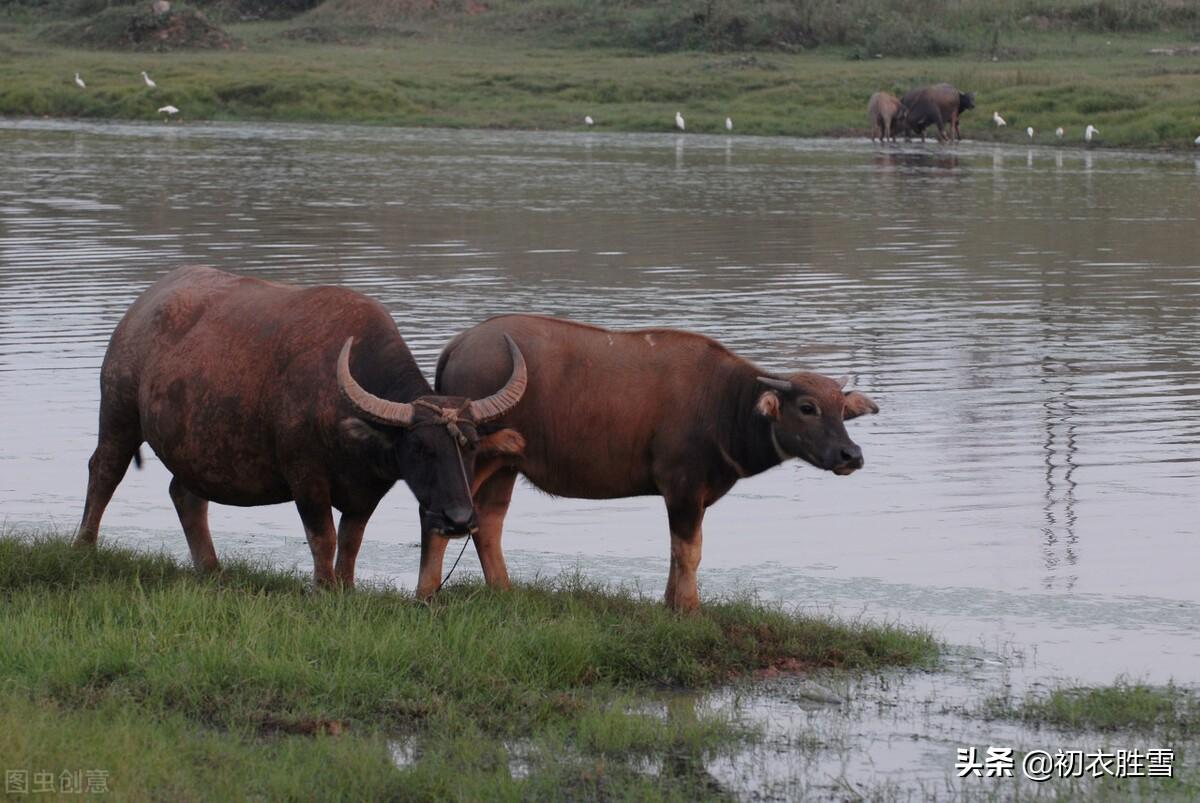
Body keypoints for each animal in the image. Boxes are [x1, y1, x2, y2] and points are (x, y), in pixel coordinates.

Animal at [75, 266, 525, 585]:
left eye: (470, 445)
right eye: (420, 448)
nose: (459, 519)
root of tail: (141, 308)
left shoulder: (367, 491)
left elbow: (351, 542)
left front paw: (345, 587)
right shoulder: (306, 479)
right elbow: (323, 538)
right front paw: (323, 588)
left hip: (194, 450)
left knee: (185, 495)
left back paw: (210, 566)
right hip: (117, 413)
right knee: (104, 472)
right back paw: (84, 546)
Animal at [427, 312, 878, 607]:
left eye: (841, 409)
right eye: (807, 407)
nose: (850, 454)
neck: (724, 402)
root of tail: (460, 343)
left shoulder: (692, 495)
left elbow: (680, 552)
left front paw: (671, 603)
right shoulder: (682, 486)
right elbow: (689, 551)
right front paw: (688, 609)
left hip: (505, 466)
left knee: (488, 525)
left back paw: (503, 591)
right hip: (472, 459)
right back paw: (426, 593)